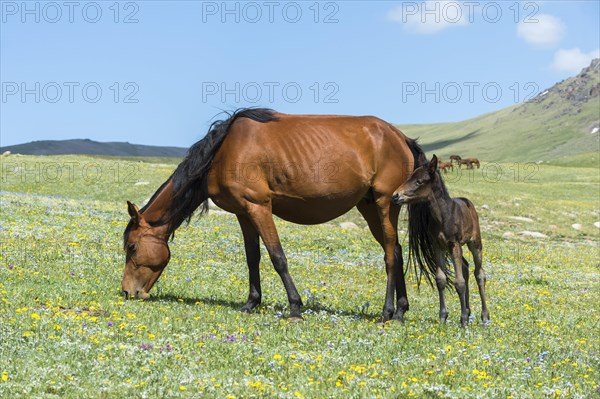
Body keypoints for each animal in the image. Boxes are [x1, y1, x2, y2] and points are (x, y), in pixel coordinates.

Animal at [122, 108, 434, 324]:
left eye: (132, 247)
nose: (127, 292)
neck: (223, 153)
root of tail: (400, 136)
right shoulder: (243, 212)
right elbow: (253, 257)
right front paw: (251, 303)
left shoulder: (259, 206)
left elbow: (277, 257)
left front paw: (295, 307)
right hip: (370, 207)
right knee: (396, 250)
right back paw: (401, 311)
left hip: (384, 204)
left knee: (391, 255)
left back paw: (387, 312)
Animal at [392, 155, 490, 326]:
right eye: (409, 178)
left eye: (419, 181)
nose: (396, 196)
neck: (443, 216)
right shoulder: (437, 245)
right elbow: (441, 279)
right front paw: (443, 316)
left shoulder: (454, 244)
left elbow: (459, 282)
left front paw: (463, 321)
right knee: (465, 267)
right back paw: (468, 310)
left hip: (474, 242)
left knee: (479, 274)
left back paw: (484, 315)